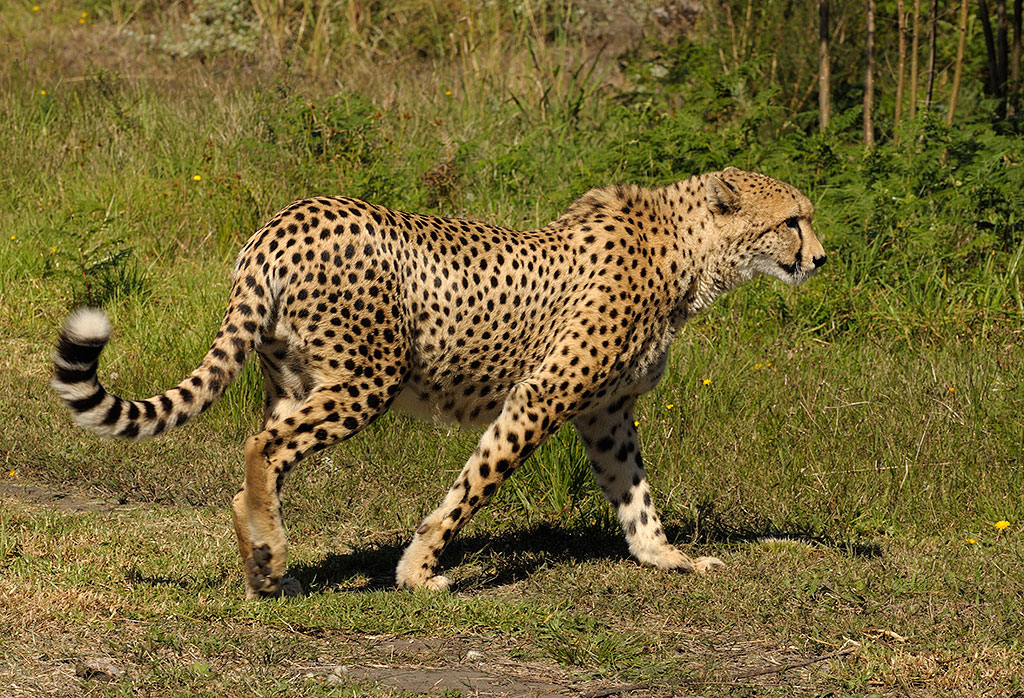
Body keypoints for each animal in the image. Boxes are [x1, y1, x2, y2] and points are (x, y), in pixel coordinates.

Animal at [54, 166, 823, 593]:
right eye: (793, 220)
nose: (821, 257)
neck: (685, 252)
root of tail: (282, 220)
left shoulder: (604, 415)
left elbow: (633, 493)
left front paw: (666, 558)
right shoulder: (541, 396)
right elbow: (474, 486)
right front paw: (418, 572)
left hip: (299, 380)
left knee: (263, 454)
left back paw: (266, 564)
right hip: (368, 377)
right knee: (261, 448)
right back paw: (271, 553)